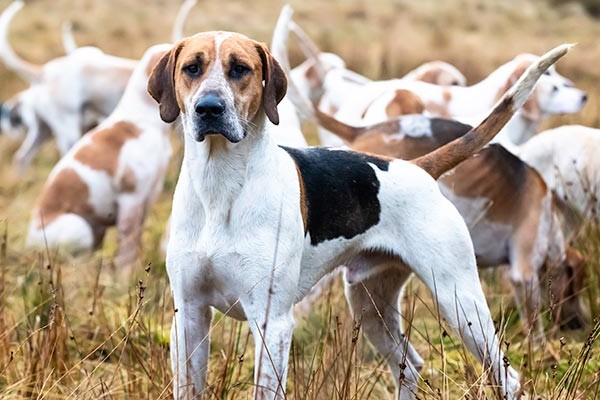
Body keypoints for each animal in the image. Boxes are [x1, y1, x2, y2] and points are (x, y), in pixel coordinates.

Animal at [28, 43, 173, 268]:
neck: (143, 120)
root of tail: (28, 240)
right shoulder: (131, 199)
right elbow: (127, 248)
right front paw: (126, 275)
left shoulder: (148, 197)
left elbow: (136, 241)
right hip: (80, 228)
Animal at [149, 28, 568, 400]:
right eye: (192, 68)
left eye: (240, 69)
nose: (209, 108)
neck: (220, 188)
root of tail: (417, 167)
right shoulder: (188, 315)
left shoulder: (272, 323)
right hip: (370, 304)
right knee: (410, 365)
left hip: (460, 301)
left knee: (506, 378)